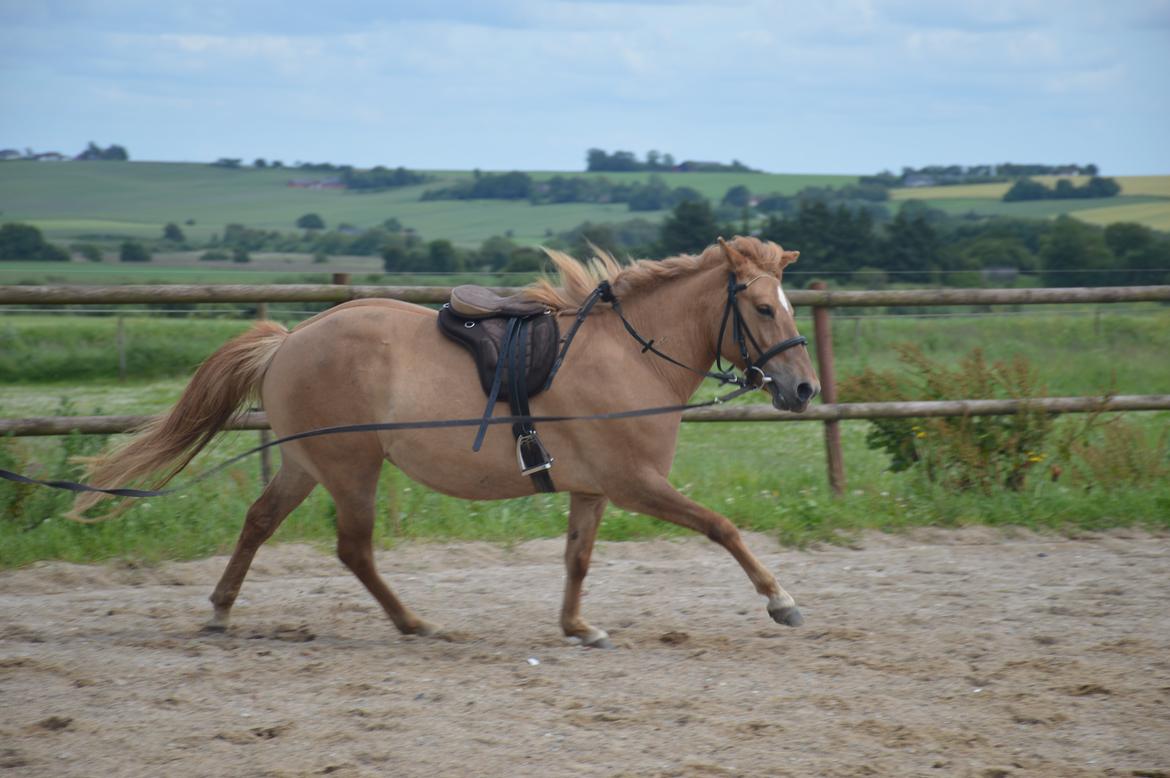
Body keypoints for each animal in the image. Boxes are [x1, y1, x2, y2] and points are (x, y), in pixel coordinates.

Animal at [73, 233, 819, 645]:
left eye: (787, 304)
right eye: (761, 307)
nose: (804, 390)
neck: (631, 354)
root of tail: (290, 339)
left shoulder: (594, 489)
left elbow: (577, 559)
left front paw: (578, 628)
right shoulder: (636, 484)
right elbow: (722, 527)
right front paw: (781, 601)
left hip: (306, 462)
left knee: (259, 522)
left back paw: (222, 614)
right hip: (351, 466)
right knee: (353, 549)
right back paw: (416, 624)